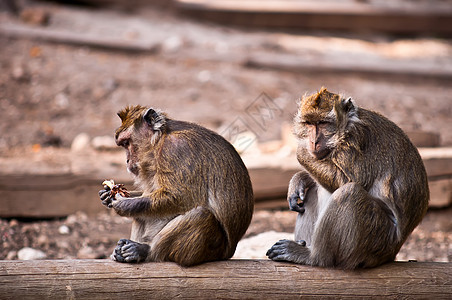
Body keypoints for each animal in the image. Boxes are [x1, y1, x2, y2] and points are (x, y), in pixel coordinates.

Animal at [99, 105, 254, 268]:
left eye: (127, 143)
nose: (127, 160)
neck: (160, 141)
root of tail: (230, 252)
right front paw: (107, 195)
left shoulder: (177, 149)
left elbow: (183, 197)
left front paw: (123, 204)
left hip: (213, 250)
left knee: (200, 215)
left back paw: (145, 251)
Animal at [266, 88, 430, 268]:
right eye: (308, 123)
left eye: (323, 123)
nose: (313, 141)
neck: (346, 127)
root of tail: (393, 251)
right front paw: (300, 180)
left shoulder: (356, 140)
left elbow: (349, 181)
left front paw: (302, 151)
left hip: (377, 238)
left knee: (350, 193)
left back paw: (314, 257)